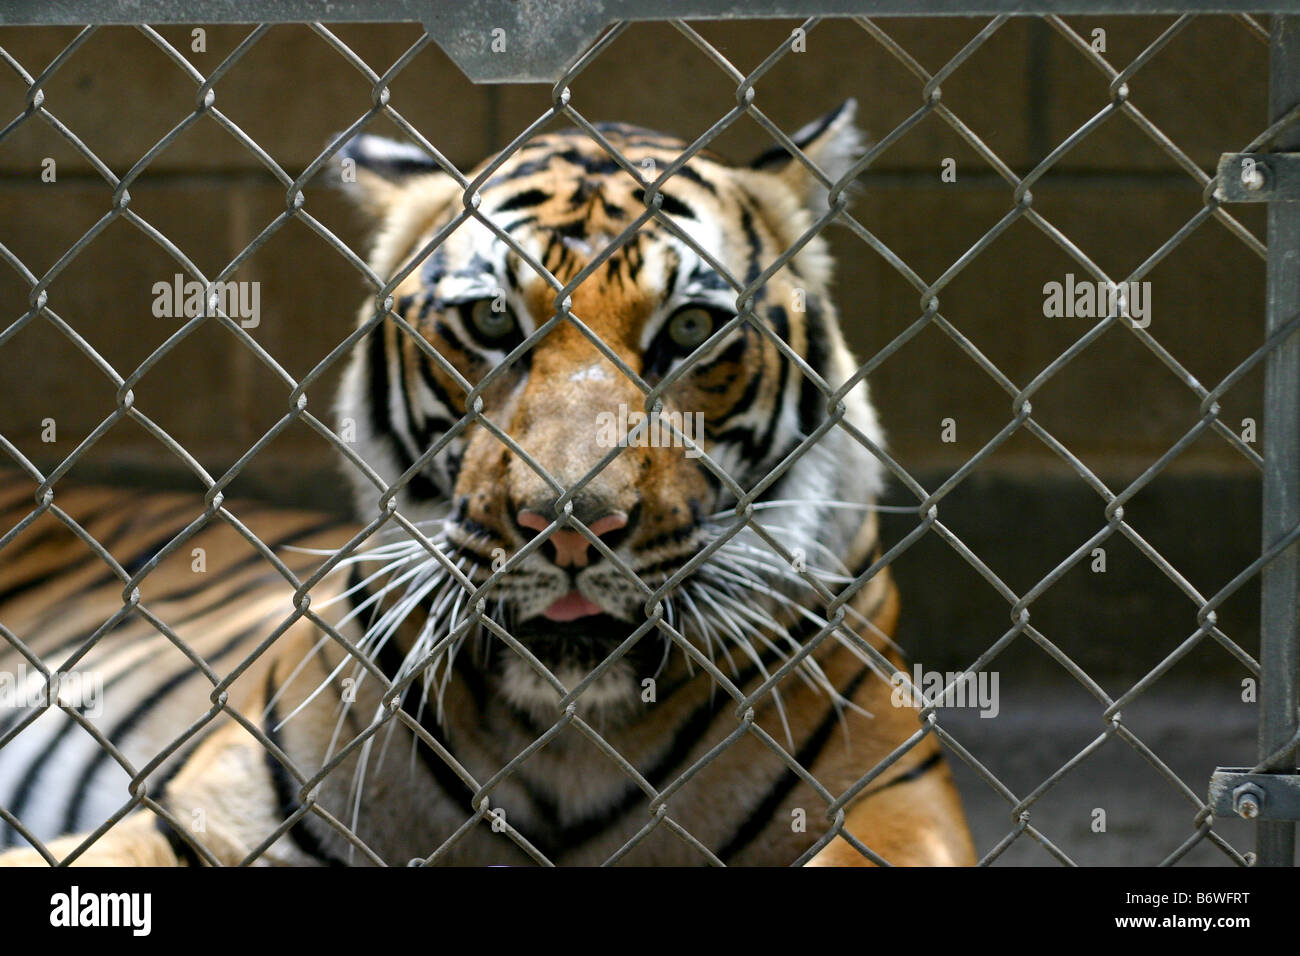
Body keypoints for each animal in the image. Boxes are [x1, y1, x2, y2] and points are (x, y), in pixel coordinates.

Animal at [0, 98, 977, 868]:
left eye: (691, 327)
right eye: (494, 318)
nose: (572, 527)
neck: (569, 734)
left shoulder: (894, 803)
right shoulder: (208, 817)